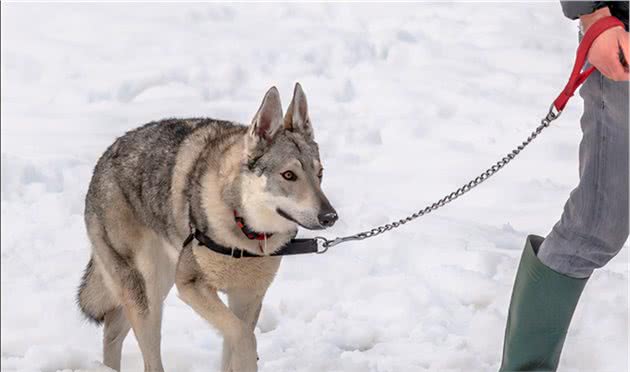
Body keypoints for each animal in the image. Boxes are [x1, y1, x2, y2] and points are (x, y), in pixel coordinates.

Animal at [76, 84, 338, 372]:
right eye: (289, 175)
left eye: (320, 174)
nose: (330, 216)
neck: (246, 233)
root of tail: (103, 159)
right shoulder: (191, 285)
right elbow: (244, 337)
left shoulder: (246, 296)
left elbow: (233, 345)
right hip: (149, 289)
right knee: (148, 356)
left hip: (160, 282)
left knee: (113, 327)